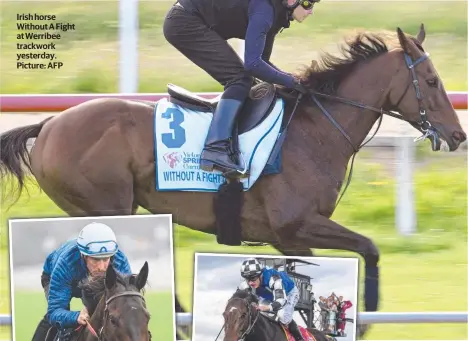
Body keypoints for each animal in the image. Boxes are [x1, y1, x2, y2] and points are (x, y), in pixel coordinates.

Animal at [1, 24, 466, 338]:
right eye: (431, 81)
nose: (457, 135)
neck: (313, 131)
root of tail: (48, 125)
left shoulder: (287, 239)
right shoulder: (295, 226)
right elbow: (368, 248)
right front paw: (363, 321)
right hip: (107, 204)